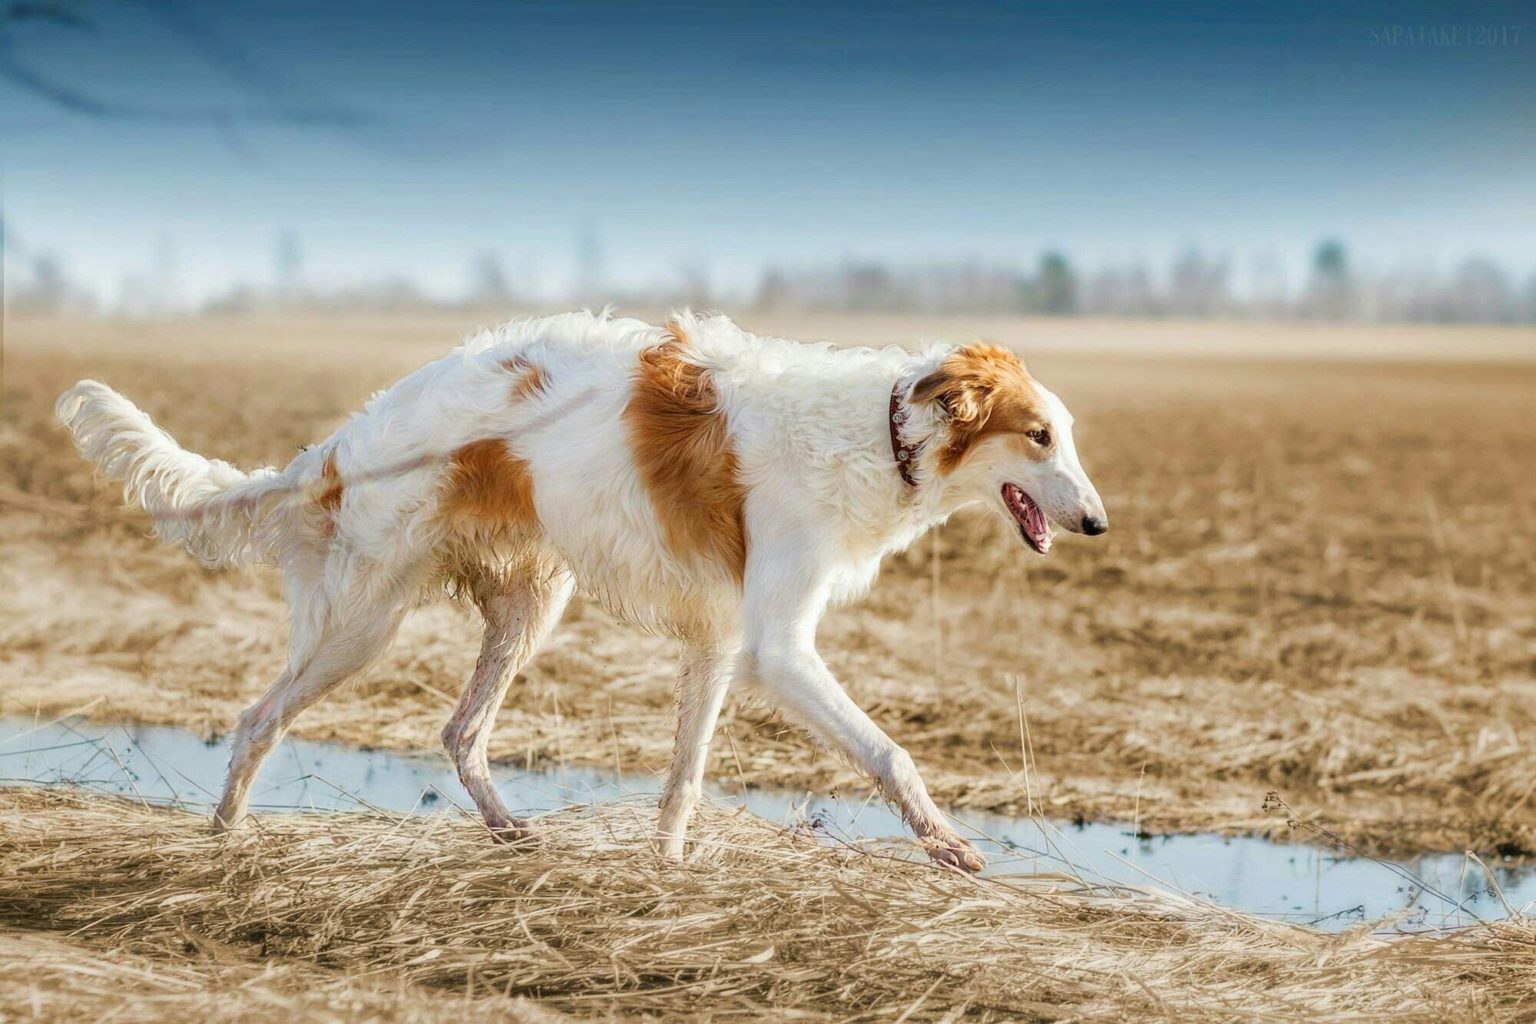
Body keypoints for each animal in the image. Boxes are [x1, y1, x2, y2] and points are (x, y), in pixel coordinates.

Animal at [54, 308, 1105, 872]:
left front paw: (669, 871)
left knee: (458, 733)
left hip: (526, 607)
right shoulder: (776, 646)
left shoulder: (721, 643)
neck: (883, 431)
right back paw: (224, 840)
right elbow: (892, 754)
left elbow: (683, 782)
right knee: (255, 720)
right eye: (1038, 436)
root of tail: (344, 446)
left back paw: (509, 831)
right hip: (365, 624)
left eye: (1065, 433)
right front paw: (950, 847)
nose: (1098, 523)